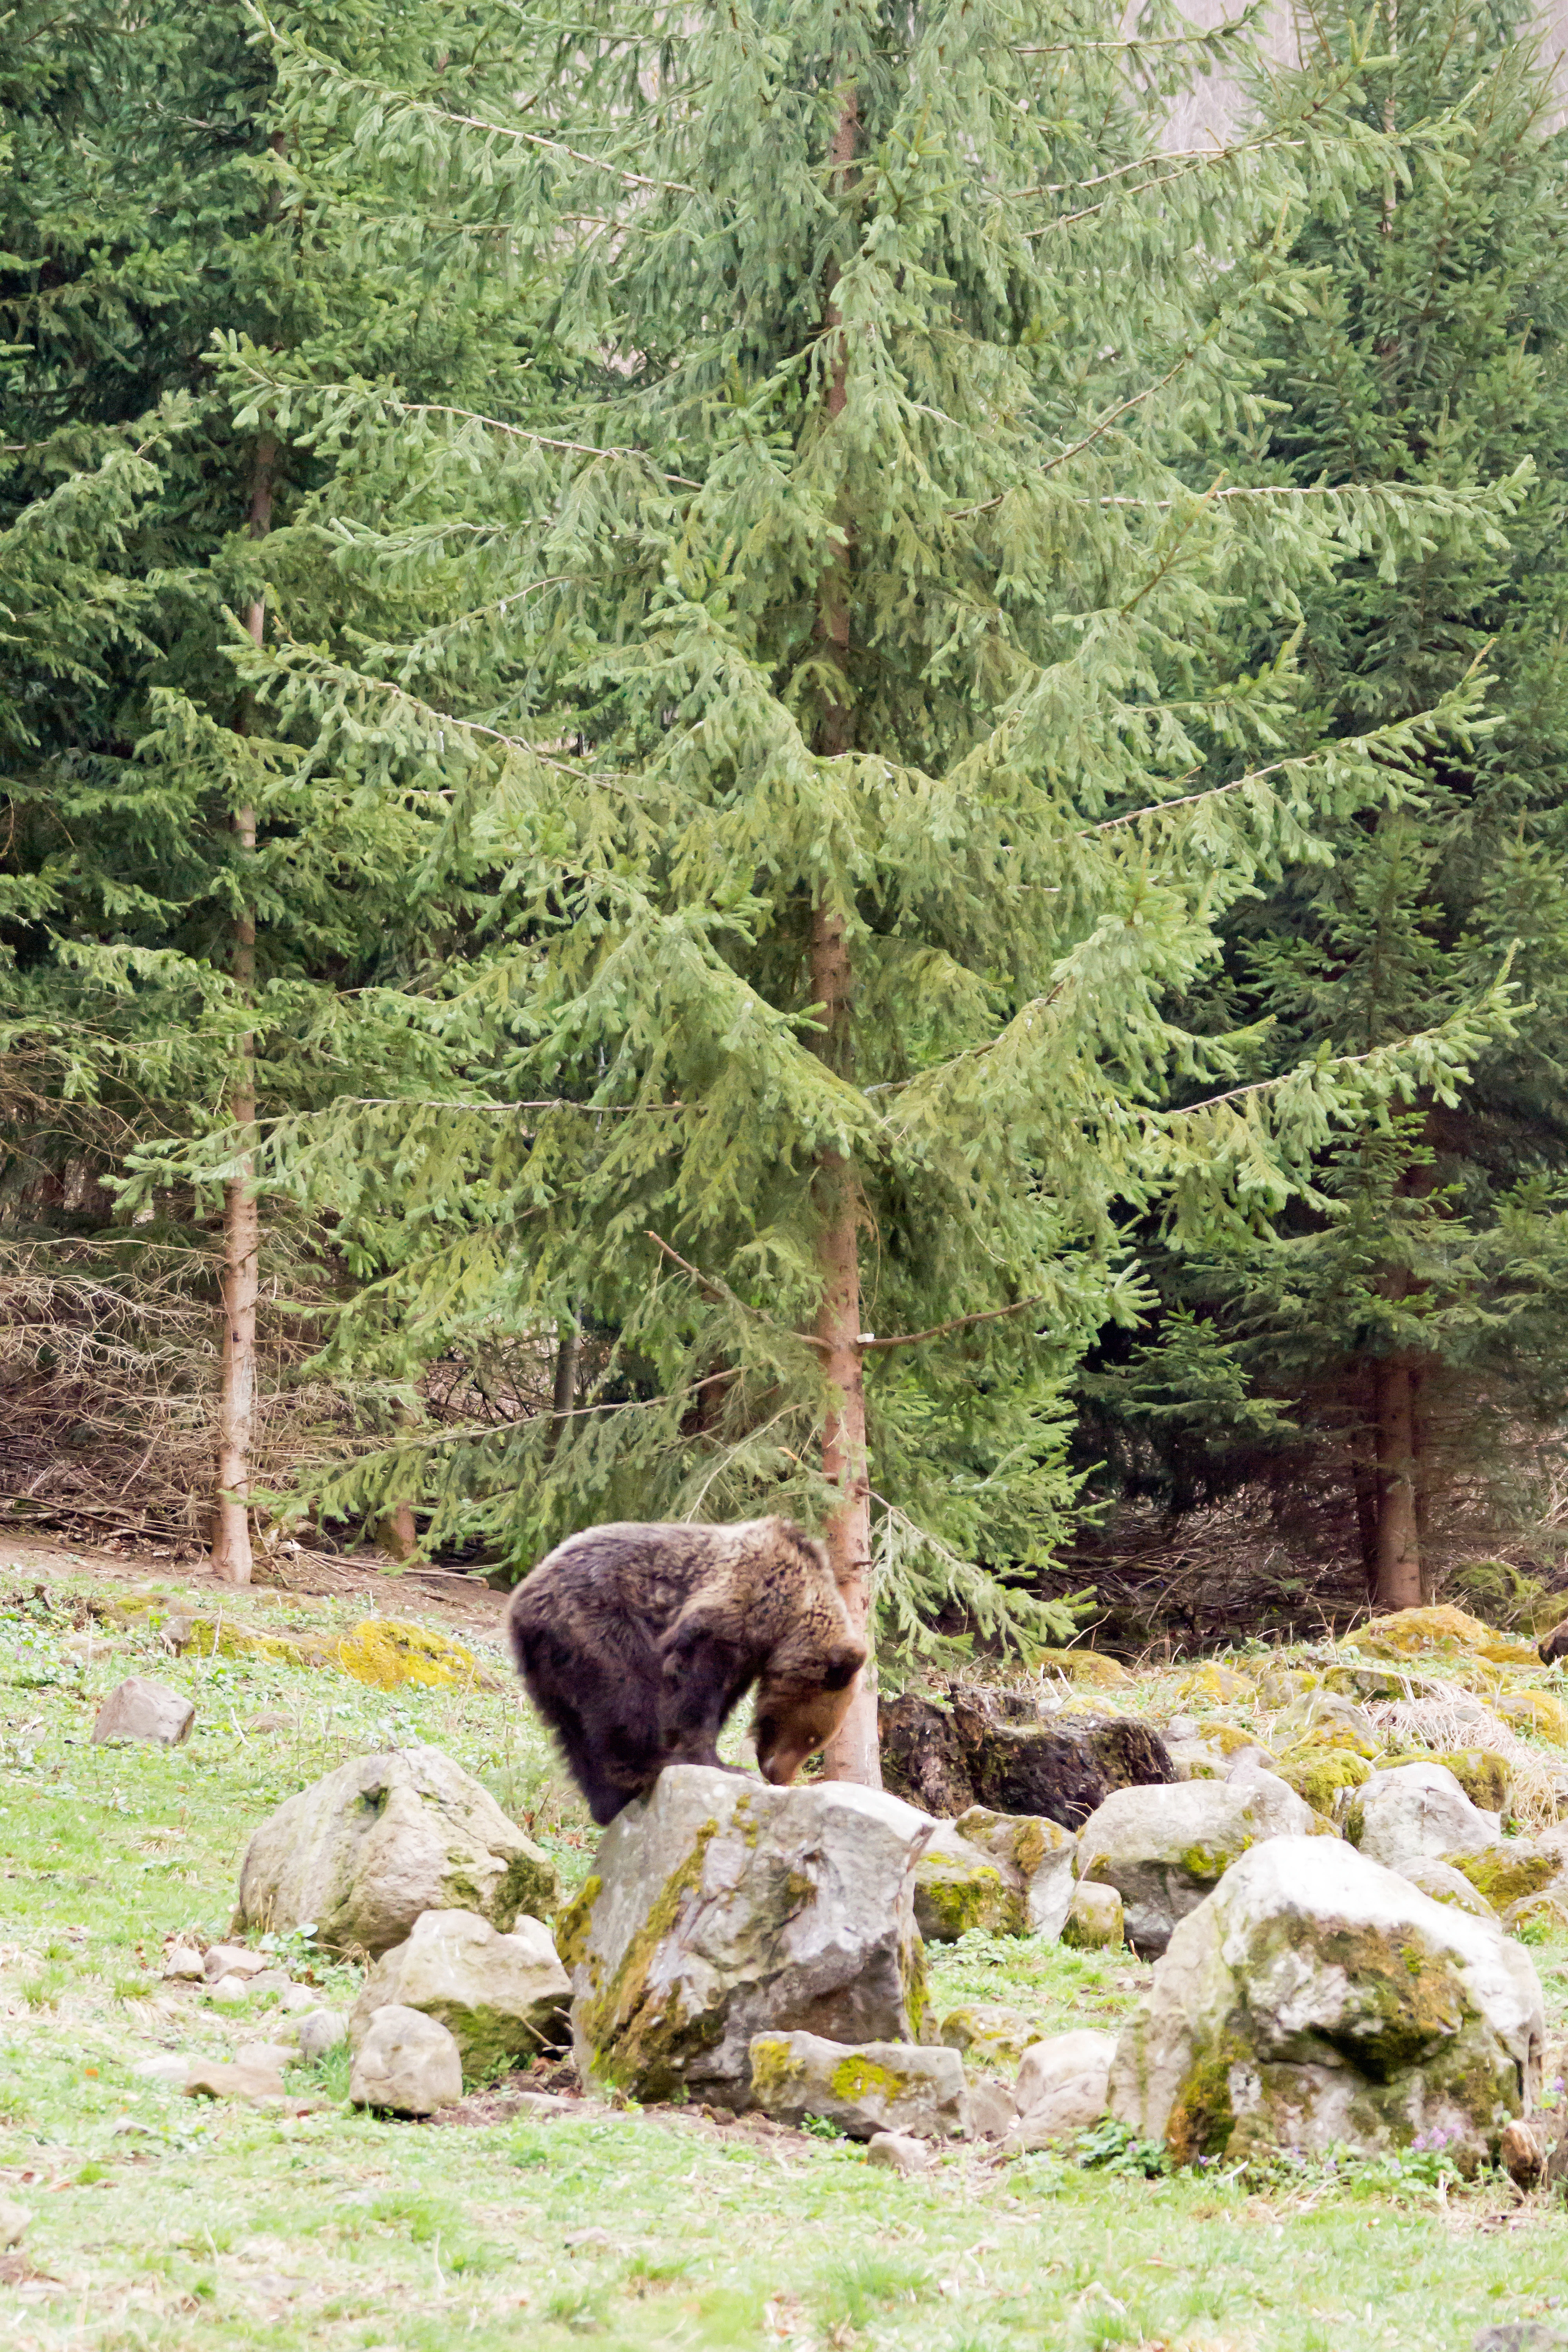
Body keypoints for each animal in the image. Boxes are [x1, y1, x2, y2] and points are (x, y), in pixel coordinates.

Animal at [505, 1516, 866, 1825]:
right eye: (813, 1738)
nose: (778, 1775)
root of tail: (522, 1601)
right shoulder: (735, 1608)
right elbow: (698, 1688)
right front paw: (725, 1765)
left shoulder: (749, 1656)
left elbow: (723, 1698)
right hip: (597, 1624)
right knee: (626, 1697)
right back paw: (647, 1768)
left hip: (552, 1665)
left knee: (573, 1731)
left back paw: (608, 1801)